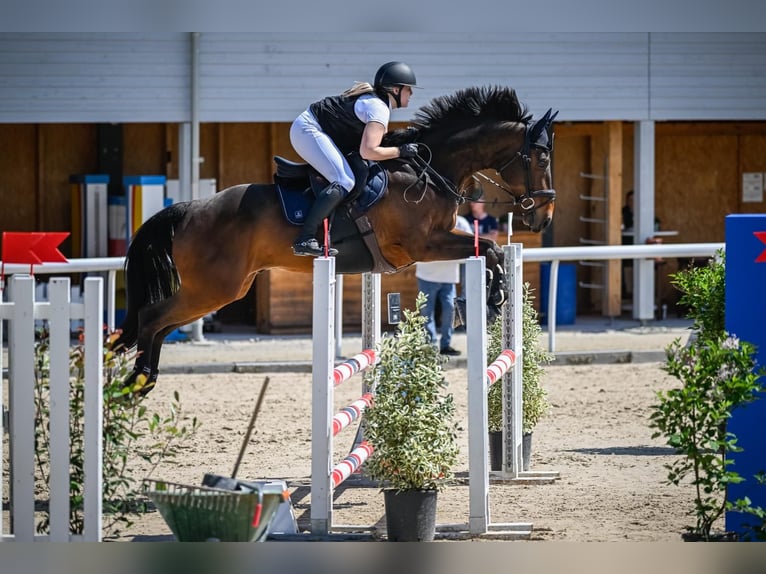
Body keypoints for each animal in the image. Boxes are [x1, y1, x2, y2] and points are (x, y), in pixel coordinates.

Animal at [112, 86, 560, 396]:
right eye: (540, 158)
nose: (544, 216)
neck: (429, 172)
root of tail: (190, 208)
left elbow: (492, 248)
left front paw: (494, 296)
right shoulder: (423, 245)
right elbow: (489, 248)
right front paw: (493, 296)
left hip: (220, 289)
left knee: (159, 325)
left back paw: (141, 381)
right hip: (213, 289)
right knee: (151, 318)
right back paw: (138, 381)